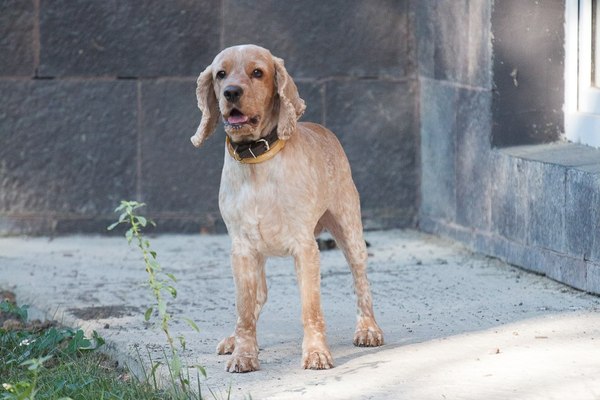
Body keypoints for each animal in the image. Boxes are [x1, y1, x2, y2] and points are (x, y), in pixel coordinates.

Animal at [191, 45, 383, 372]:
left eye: (257, 72)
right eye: (221, 74)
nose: (231, 92)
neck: (256, 160)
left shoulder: (305, 247)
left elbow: (311, 308)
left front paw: (316, 353)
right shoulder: (242, 248)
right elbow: (244, 310)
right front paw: (244, 353)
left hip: (350, 230)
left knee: (362, 283)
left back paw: (368, 329)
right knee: (258, 296)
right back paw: (234, 340)